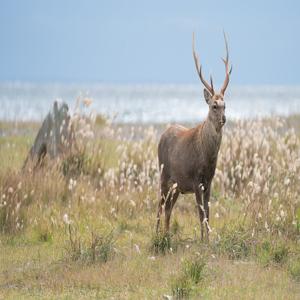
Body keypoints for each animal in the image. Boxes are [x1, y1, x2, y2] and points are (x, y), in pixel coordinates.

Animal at [157, 32, 232, 241]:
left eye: (225, 105)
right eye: (214, 105)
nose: (224, 118)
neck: (207, 157)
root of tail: (162, 135)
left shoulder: (209, 181)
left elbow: (208, 212)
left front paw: (208, 238)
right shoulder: (195, 178)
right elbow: (200, 213)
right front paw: (203, 240)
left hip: (177, 185)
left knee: (168, 208)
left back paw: (167, 235)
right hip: (163, 174)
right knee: (159, 206)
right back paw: (156, 234)